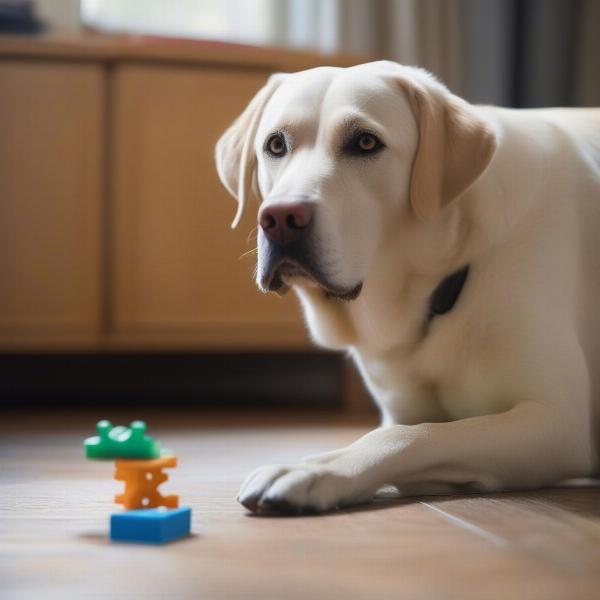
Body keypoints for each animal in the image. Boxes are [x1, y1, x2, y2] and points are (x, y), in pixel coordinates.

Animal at [214, 59, 600, 510]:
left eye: (366, 142)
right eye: (275, 145)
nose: (281, 218)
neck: (441, 282)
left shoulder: (558, 422)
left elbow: (412, 436)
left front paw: (316, 469)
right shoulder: (401, 406)